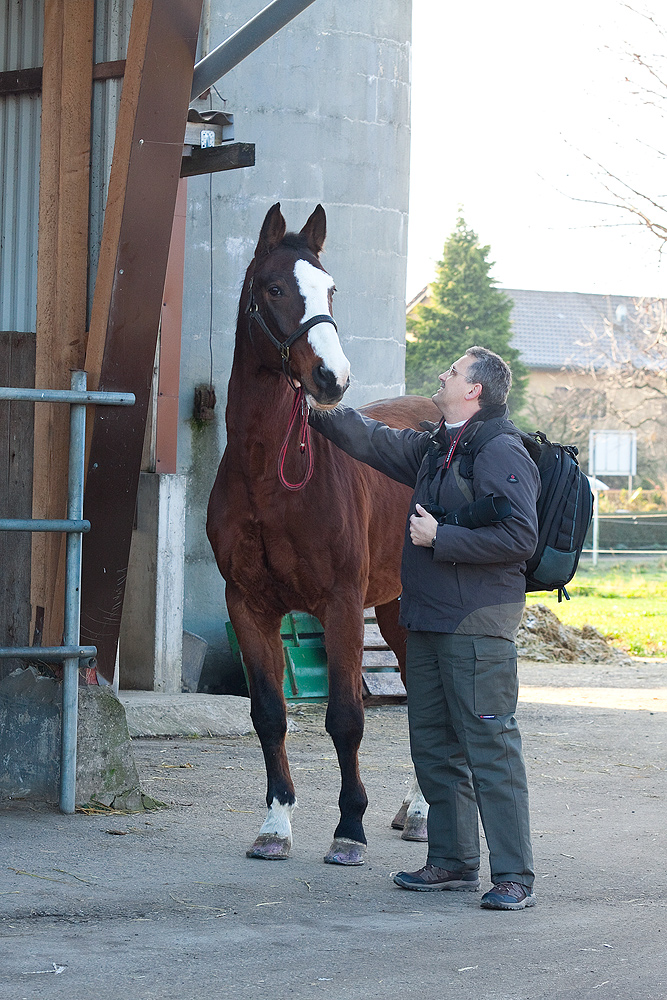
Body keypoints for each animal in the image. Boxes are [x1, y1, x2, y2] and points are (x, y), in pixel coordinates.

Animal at [209, 205, 438, 868]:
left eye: (330, 288)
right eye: (274, 288)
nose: (332, 378)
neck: (269, 476)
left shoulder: (339, 605)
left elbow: (345, 719)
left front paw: (349, 830)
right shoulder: (249, 606)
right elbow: (269, 715)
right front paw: (275, 825)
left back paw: (421, 813)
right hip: (395, 611)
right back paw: (415, 810)